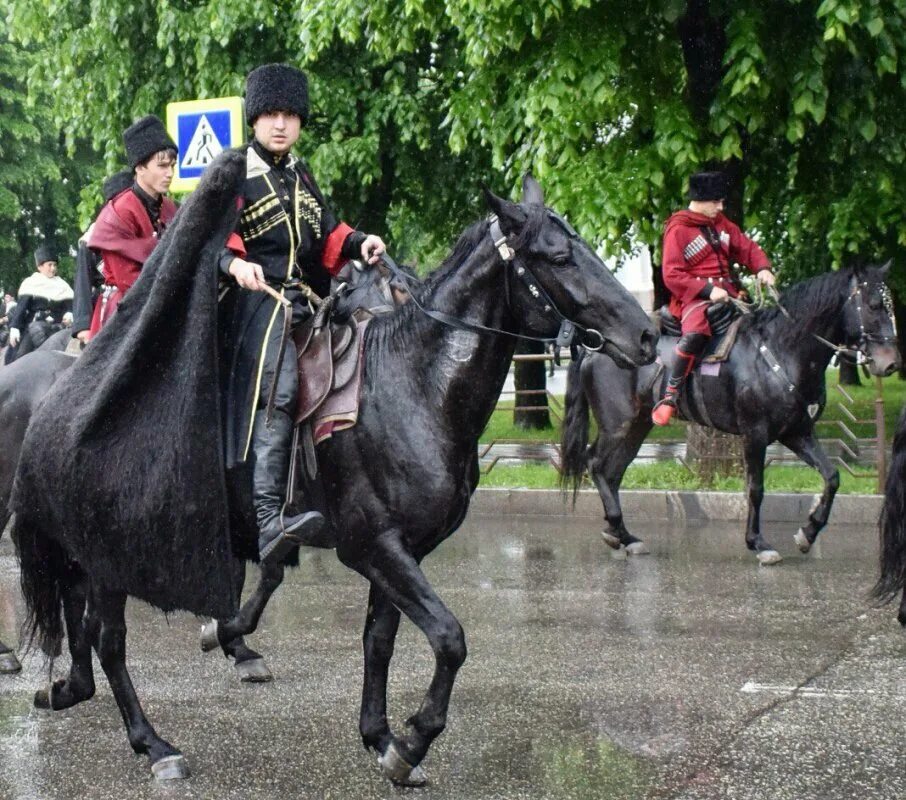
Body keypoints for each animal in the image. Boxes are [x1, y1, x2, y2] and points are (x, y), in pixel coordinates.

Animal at [10, 155, 652, 780]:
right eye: (559, 257)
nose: (647, 336)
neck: (416, 385)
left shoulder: (403, 550)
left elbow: (379, 640)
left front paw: (382, 737)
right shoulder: (371, 545)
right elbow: (449, 638)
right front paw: (414, 739)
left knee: (84, 622)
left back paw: (70, 689)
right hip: (104, 546)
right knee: (109, 639)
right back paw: (153, 743)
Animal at [556, 266, 896, 564]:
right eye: (873, 305)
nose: (890, 363)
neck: (781, 351)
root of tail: (595, 347)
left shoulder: (796, 432)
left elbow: (832, 477)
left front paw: (808, 534)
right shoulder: (755, 434)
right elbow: (755, 489)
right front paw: (759, 544)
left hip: (638, 426)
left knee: (612, 471)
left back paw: (623, 536)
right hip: (618, 424)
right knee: (596, 463)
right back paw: (617, 530)